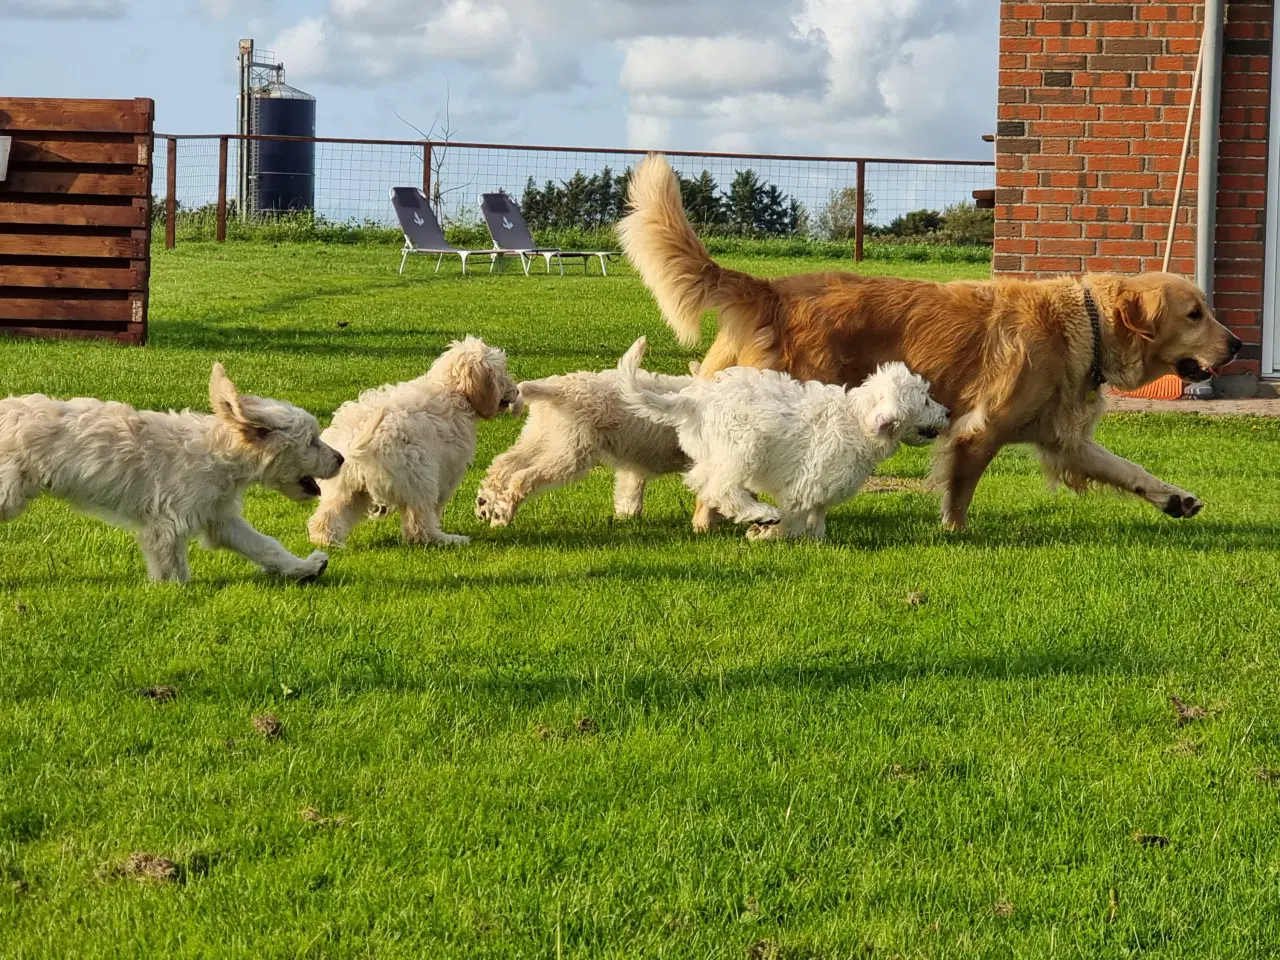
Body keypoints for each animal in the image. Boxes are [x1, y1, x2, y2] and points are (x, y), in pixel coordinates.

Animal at [0, 363, 343, 583]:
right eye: (312, 441)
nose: (340, 459)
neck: (218, 452)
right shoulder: (168, 524)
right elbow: (173, 570)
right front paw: (172, 591)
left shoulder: (220, 518)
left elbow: (265, 545)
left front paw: (304, 568)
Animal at [307, 337, 522, 547]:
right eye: (501, 372)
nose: (516, 391)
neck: (451, 391)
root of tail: (355, 441)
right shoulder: (448, 472)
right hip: (420, 478)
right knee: (419, 525)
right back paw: (445, 539)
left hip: (344, 487)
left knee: (327, 515)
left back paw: (327, 541)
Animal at [478, 358, 716, 529]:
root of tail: (557, 388)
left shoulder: (636, 465)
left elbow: (630, 492)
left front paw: (626, 516)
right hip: (570, 454)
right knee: (523, 477)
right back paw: (501, 516)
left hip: (543, 438)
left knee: (504, 463)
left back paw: (484, 503)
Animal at [614, 335, 947, 542]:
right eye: (925, 400)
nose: (948, 412)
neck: (856, 419)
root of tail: (695, 401)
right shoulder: (803, 483)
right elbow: (794, 515)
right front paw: (771, 535)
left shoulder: (821, 486)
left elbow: (818, 514)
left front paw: (815, 536)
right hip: (743, 447)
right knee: (721, 488)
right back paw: (761, 514)